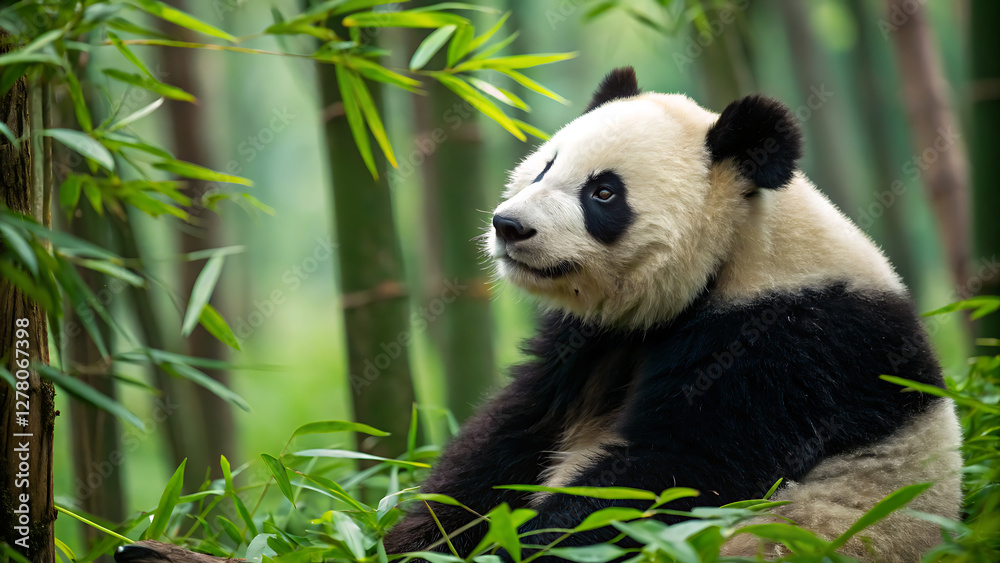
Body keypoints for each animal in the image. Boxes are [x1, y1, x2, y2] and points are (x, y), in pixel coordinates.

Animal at [383, 67, 963, 562]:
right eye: (544, 168)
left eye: (603, 192)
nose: (509, 226)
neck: (737, 252)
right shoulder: (593, 339)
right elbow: (513, 435)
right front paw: (412, 540)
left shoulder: (789, 343)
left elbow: (670, 469)